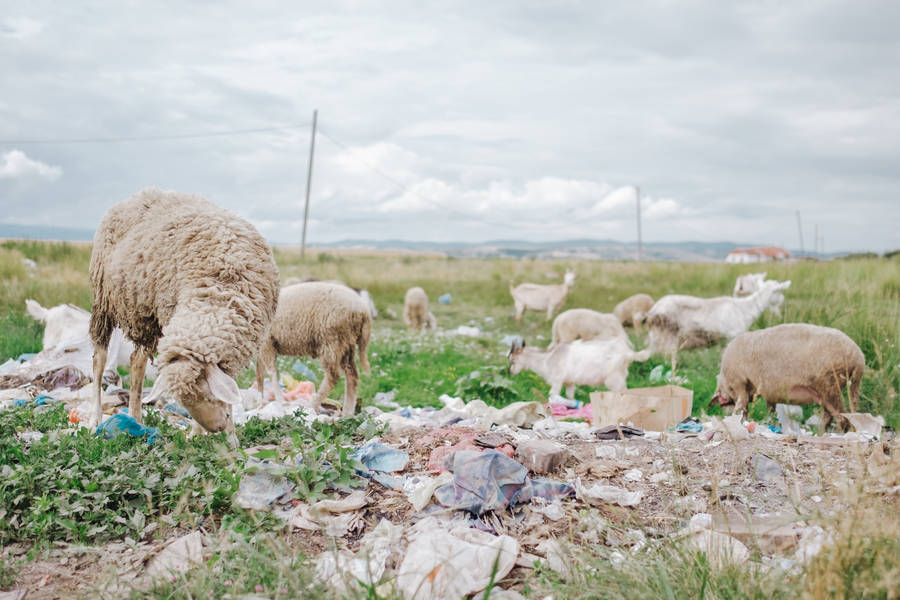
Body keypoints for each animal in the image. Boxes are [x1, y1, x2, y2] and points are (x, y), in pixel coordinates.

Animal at [89, 187, 280, 432]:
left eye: (208, 396)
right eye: (185, 403)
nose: (216, 428)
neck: (219, 289)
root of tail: (136, 196)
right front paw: (201, 434)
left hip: (145, 316)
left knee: (136, 362)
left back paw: (136, 418)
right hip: (104, 301)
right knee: (99, 360)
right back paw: (95, 417)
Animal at [256, 282, 371, 416]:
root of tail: (363, 310)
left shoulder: (267, 342)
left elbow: (271, 372)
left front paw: (280, 400)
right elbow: (259, 374)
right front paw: (260, 400)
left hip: (332, 340)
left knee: (333, 376)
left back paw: (312, 404)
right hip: (346, 343)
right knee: (352, 375)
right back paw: (347, 413)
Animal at [507, 337, 650, 400]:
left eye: (512, 359)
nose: (510, 372)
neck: (547, 359)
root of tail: (628, 353)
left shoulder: (557, 380)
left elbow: (553, 395)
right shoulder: (569, 383)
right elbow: (570, 397)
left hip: (614, 379)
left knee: (624, 392)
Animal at [646, 279, 791, 360]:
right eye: (779, 292)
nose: (783, 302)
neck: (745, 308)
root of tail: (653, 310)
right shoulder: (732, 336)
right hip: (664, 337)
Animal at [714, 323, 865, 430]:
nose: (725, 412)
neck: (725, 381)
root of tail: (858, 357)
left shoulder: (739, 384)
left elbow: (742, 407)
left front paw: (736, 420)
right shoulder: (769, 393)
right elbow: (770, 410)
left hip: (830, 384)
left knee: (841, 417)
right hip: (829, 390)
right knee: (831, 415)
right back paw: (821, 432)